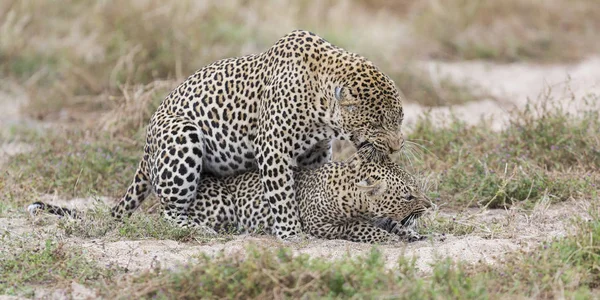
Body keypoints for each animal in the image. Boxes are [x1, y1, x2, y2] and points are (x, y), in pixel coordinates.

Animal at [109, 28, 408, 239]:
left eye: (400, 119)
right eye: (377, 123)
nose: (396, 148)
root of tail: (147, 145)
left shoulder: (317, 150)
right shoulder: (272, 146)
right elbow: (282, 195)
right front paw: (292, 233)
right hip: (182, 135)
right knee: (169, 212)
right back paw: (198, 229)